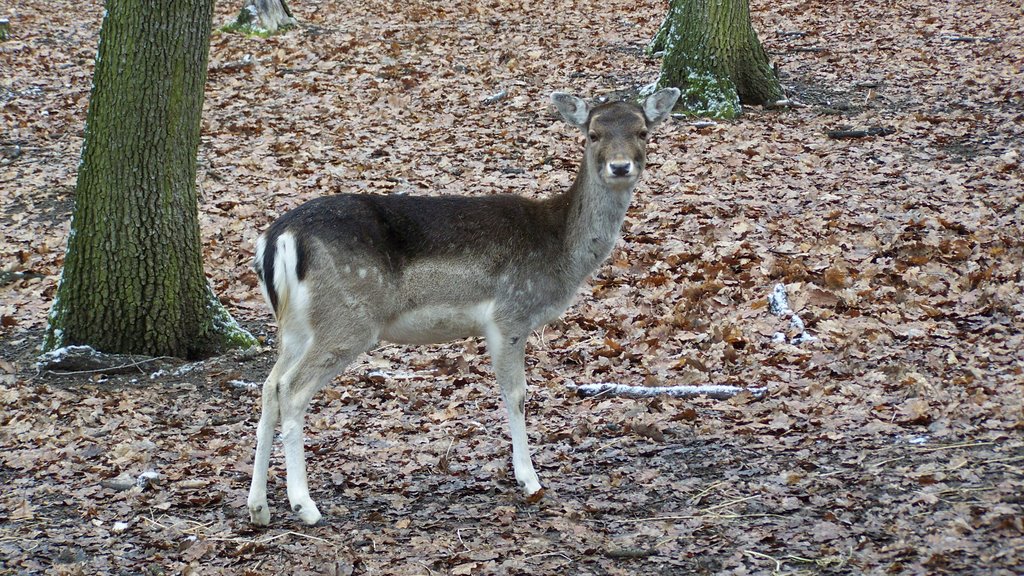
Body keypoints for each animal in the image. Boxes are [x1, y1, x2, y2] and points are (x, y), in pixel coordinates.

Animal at [245, 87, 679, 522]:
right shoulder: (510, 313)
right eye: (593, 134)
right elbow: (516, 393)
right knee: (292, 389)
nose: (620, 166)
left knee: (268, 386)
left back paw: (258, 507)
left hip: (297, 326)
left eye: (642, 132)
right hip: (347, 318)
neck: (559, 251)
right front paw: (530, 480)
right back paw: (305, 505)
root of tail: (277, 239)